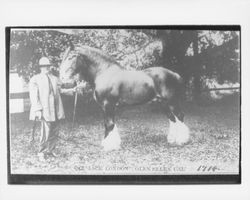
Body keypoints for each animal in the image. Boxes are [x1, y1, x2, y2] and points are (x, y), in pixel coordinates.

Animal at [59, 45, 189, 150]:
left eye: (71, 57)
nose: (62, 78)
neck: (104, 72)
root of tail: (174, 74)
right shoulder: (105, 107)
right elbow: (107, 124)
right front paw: (109, 143)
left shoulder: (108, 104)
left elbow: (110, 124)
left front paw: (109, 146)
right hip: (162, 103)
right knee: (172, 119)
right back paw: (172, 139)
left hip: (172, 102)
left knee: (180, 116)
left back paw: (182, 140)